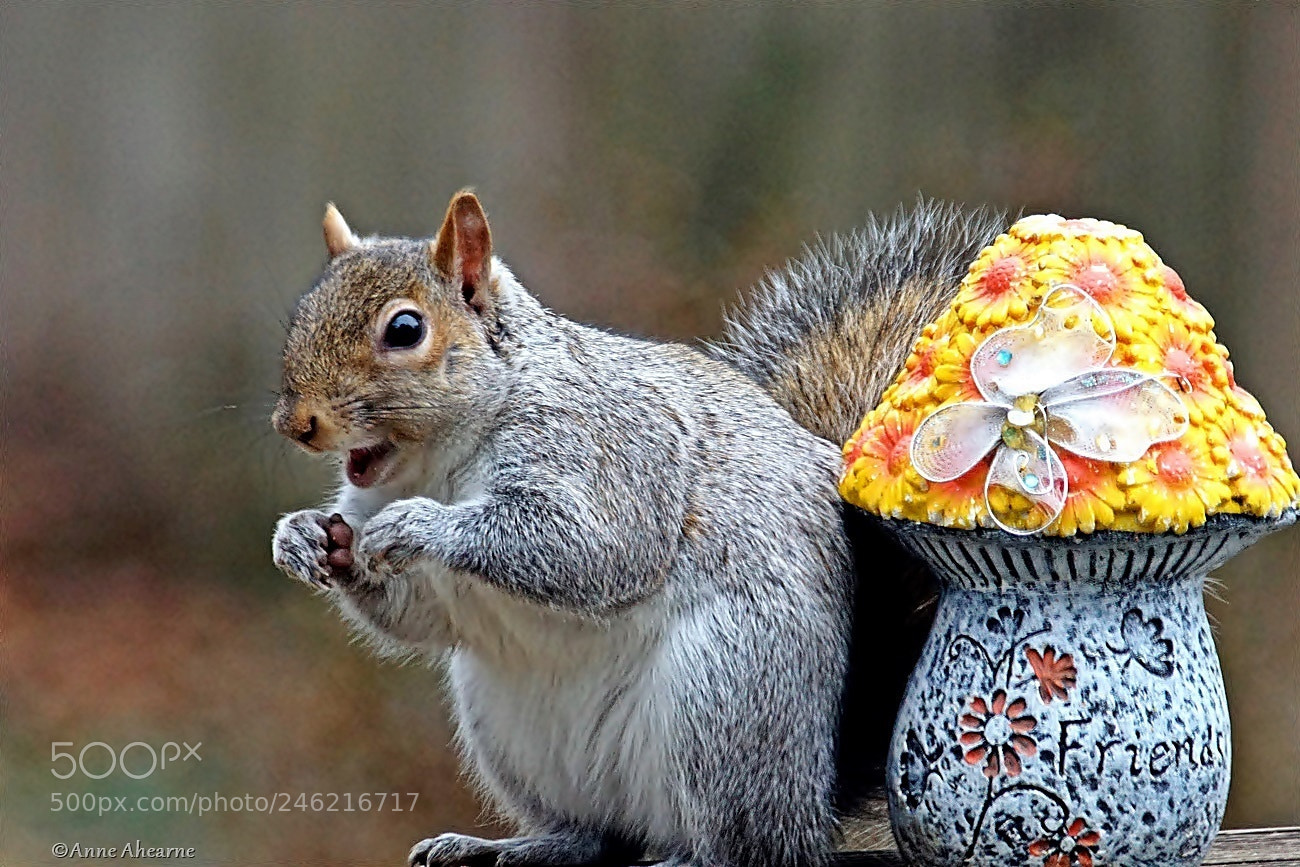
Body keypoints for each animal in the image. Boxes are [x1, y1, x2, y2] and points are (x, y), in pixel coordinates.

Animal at [271, 190, 1006, 867]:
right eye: (301, 316)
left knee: (745, 847)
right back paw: (514, 845)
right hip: (509, 730)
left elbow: (590, 551)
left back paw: (695, 855)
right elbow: (417, 613)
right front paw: (309, 538)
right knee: (597, 837)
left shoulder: (610, 452)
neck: (440, 459)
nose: (297, 423)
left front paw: (418, 524)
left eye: (404, 329)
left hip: (724, 701)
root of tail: (814, 802)